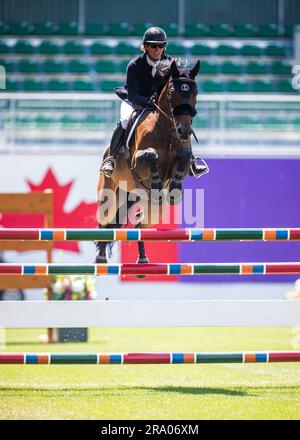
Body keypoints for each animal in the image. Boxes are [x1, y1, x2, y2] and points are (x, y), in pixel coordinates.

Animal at [95, 59, 200, 262]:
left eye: (195, 92)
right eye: (172, 92)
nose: (184, 131)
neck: (168, 131)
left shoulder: (181, 157)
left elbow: (184, 156)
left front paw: (174, 188)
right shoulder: (137, 162)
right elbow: (151, 155)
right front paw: (157, 181)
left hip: (154, 208)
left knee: (138, 225)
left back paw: (142, 258)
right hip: (109, 196)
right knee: (104, 224)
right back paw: (101, 258)